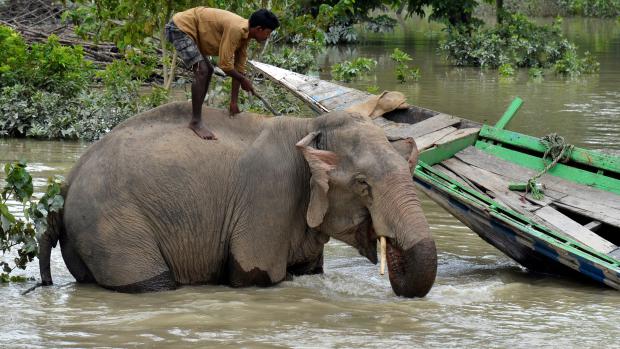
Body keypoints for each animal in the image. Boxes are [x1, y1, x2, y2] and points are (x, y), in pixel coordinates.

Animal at [37, 101, 436, 296]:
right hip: (113, 228)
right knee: (151, 284)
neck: (309, 125)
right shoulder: (267, 198)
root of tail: (65, 184)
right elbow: (253, 278)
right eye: (363, 184)